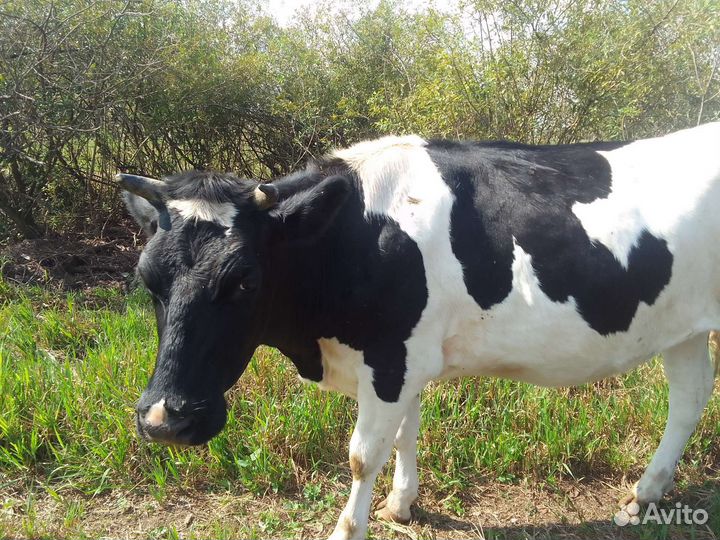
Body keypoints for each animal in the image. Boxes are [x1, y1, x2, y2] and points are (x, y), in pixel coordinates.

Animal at [118, 122, 720, 539]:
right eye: (147, 278)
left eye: (244, 279)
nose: (165, 420)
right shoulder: (402, 358)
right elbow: (404, 433)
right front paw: (401, 504)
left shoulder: (391, 359)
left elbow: (363, 454)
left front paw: (348, 528)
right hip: (681, 328)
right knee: (690, 398)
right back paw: (645, 494)